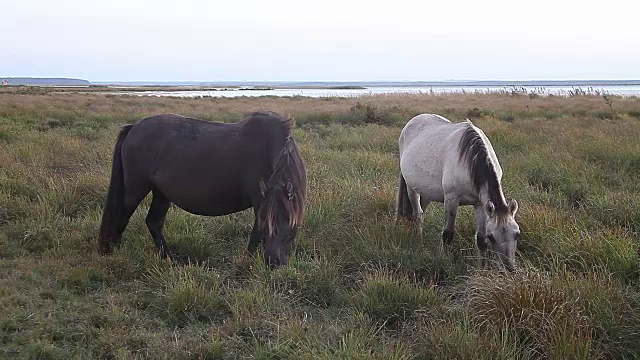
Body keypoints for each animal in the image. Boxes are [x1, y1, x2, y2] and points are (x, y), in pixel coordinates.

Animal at [98, 111, 308, 266]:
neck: (266, 148)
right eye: (268, 220)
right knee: (121, 217)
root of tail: (133, 127)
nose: (273, 262)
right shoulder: (260, 201)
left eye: (289, 220)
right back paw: (112, 252)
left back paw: (169, 259)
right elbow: (257, 233)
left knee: (153, 222)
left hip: (161, 193)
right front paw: (248, 260)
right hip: (135, 189)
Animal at [398, 114, 524, 270]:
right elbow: (448, 234)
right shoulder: (452, 199)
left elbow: (480, 239)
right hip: (411, 188)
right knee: (417, 215)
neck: (470, 161)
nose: (509, 268)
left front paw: (482, 269)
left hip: (426, 192)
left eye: (517, 234)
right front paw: (443, 260)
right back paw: (420, 244)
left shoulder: (480, 204)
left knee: (422, 212)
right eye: (492, 236)